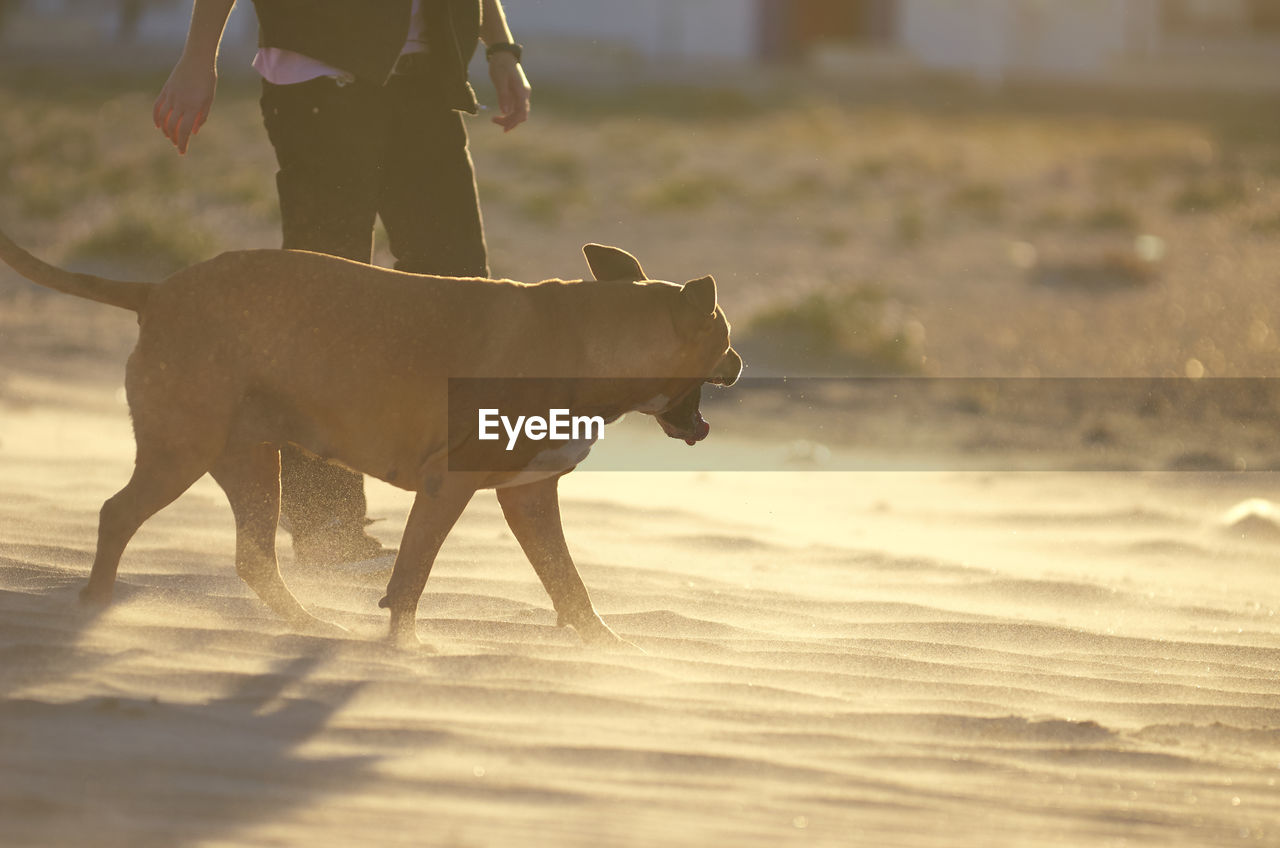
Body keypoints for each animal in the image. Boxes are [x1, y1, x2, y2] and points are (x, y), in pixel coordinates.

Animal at [0, 229, 742, 648]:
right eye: (724, 337)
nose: (739, 362)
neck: (592, 340)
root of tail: (157, 292)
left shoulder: (529, 497)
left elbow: (569, 584)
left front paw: (608, 650)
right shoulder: (449, 486)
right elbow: (411, 578)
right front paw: (403, 654)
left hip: (249, 460)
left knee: (252, 558)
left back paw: (309, 626)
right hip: (184, 449)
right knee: (117, 514)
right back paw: (96, 607)